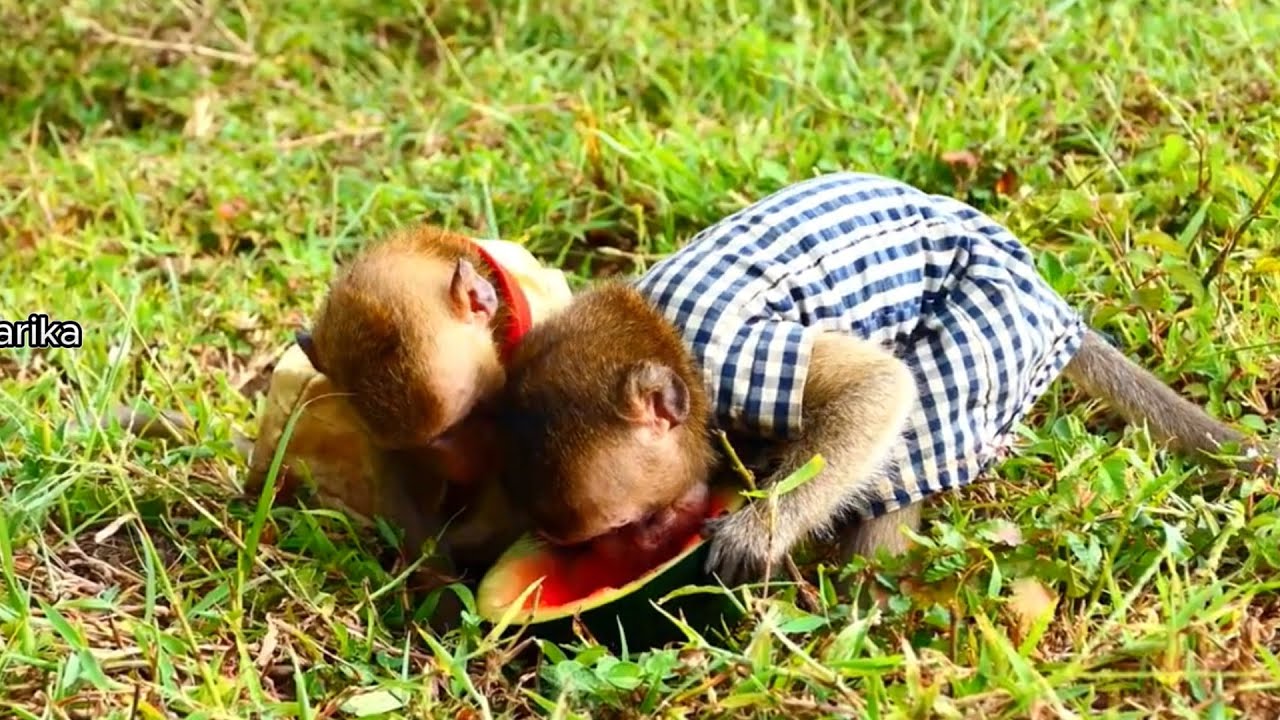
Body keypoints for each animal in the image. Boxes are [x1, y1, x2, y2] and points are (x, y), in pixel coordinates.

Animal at [494, 172, 1277, 587]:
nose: (638, 551)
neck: (664, 332)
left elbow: (879, 389)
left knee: (924, 409)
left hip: (996, 328)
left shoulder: (734, 357)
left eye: (632, 527)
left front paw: (759, 531)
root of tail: (1048, 300)